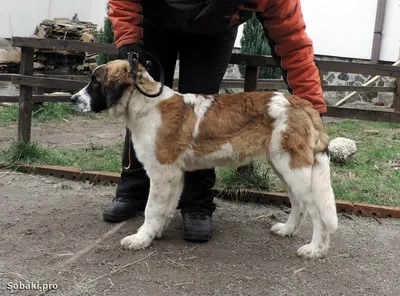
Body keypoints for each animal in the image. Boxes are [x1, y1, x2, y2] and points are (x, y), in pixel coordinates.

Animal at [71, 59, 338, 258]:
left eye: (95, 81)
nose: (73, 100)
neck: (145, 104)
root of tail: (300, 103)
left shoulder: (161, 172)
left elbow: (151, 208)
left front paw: (141, 238)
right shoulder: (173, 174)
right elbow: (166, 207)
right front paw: (156, 232)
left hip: (294, 170)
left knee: (317, 212)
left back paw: (316, 249)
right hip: (285, 168)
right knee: (298, 203)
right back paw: (288, 229)